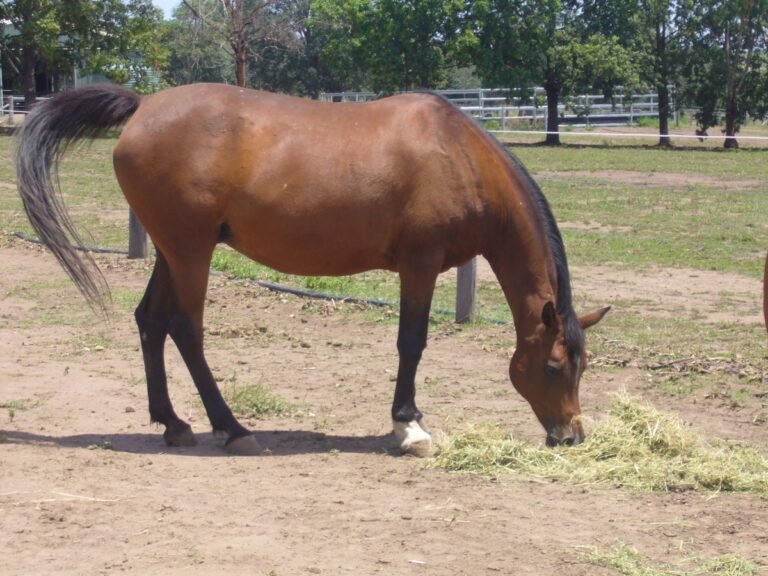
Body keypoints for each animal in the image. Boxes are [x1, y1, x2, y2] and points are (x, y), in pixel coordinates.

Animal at [15, 84, 609, 455]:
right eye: (553, 367)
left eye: (583, 367)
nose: (571, 436)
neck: (457, 154)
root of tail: (142, 106)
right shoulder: (420, 264)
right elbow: (412, 342)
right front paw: (408, 425)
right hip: (190, 252)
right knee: (186, 329)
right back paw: (231, 428)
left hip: (171, 251)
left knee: (150, 323)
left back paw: (174, 423)